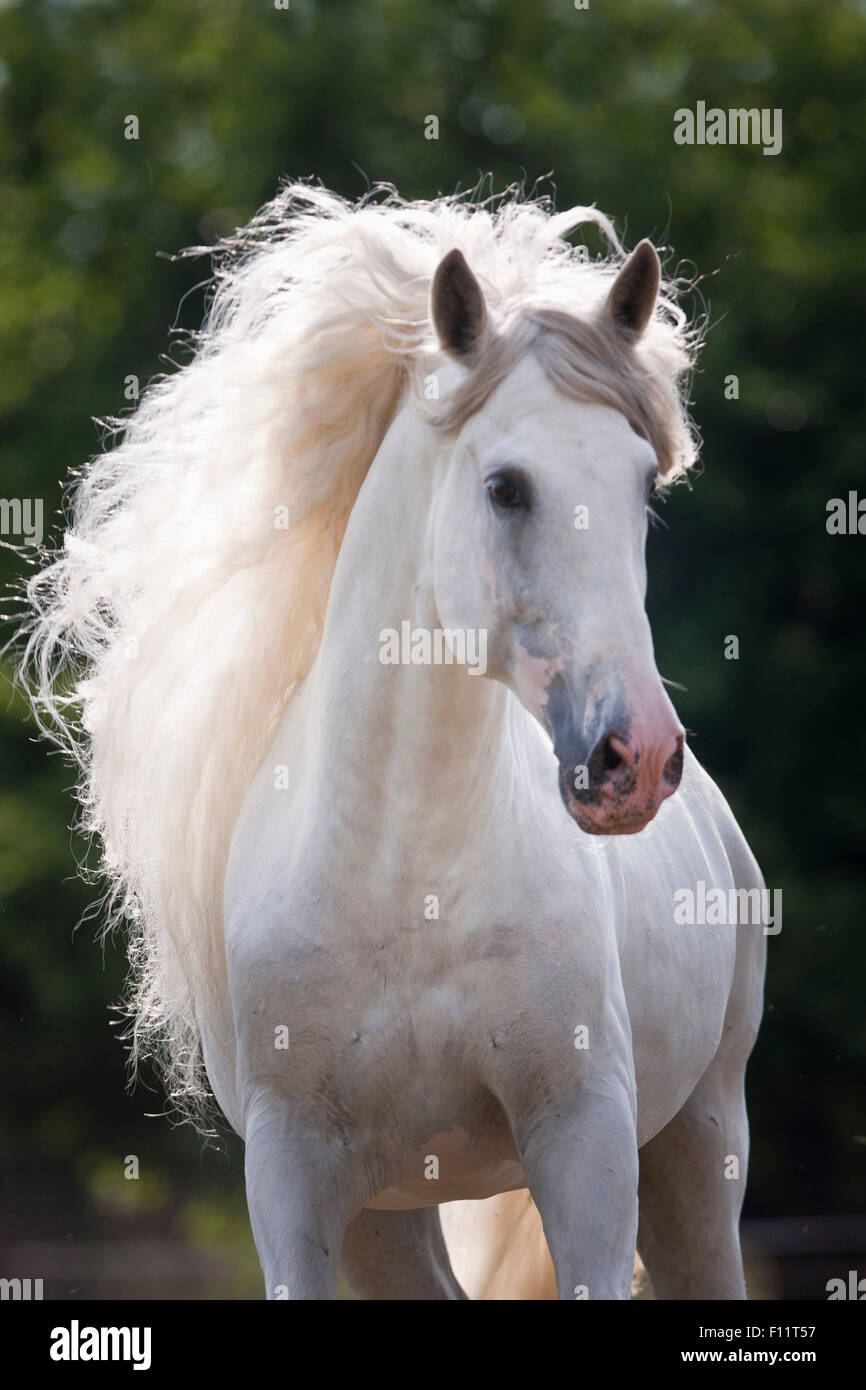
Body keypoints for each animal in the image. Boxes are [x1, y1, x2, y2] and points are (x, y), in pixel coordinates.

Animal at [23, 182, 766, 1300]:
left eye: (643, 483)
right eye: (506, 486)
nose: (633, 757)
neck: (407, 887)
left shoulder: (584, 1147)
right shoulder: (296, 1185)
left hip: (697, 1145)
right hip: (389, 1219)